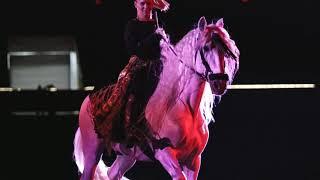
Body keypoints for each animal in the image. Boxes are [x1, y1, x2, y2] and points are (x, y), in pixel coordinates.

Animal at [74, 16, 239, 179]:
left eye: (226, 49)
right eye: (206, 47)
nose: (219, 83)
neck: (184, 107)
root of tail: (88, 98)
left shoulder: (193, 161)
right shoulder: (165, 154)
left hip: (127, 156)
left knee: (112, 173)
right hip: (92, 153)